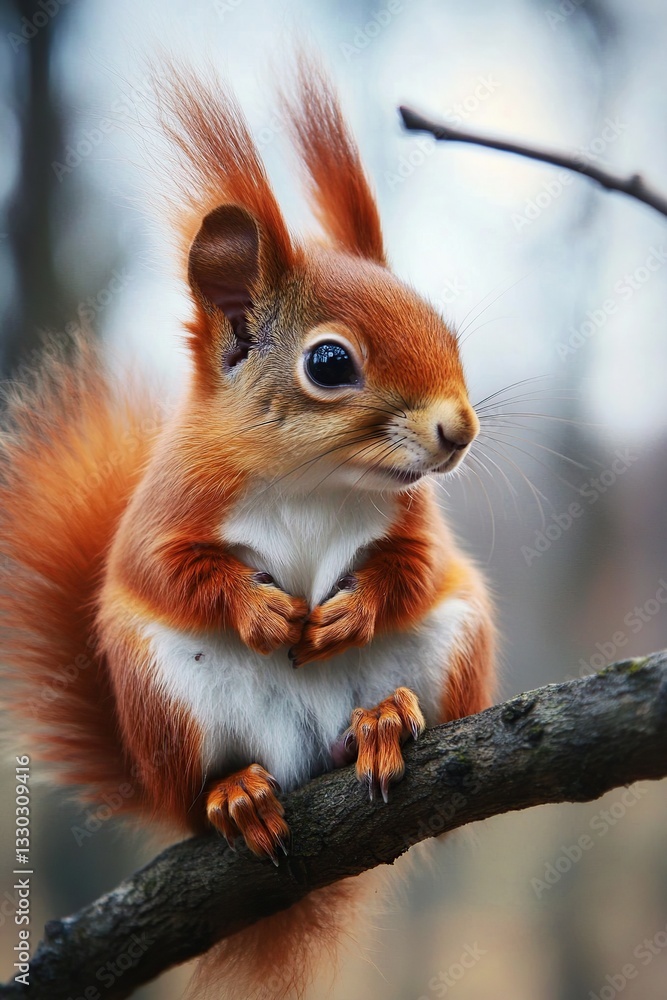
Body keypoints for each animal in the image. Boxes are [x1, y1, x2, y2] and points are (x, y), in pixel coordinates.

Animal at [0, 58, 496, 999]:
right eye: (329, 362)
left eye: (445, 327)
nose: (457, 430)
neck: (316, 481)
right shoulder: (167, 510)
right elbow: (163, 572)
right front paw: (262, 611)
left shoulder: (418, 527)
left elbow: (412, 568)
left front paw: (350, 610)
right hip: (166, 698)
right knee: (205, 786)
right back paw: (236, 796)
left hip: (458, 639)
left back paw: (383, 721)